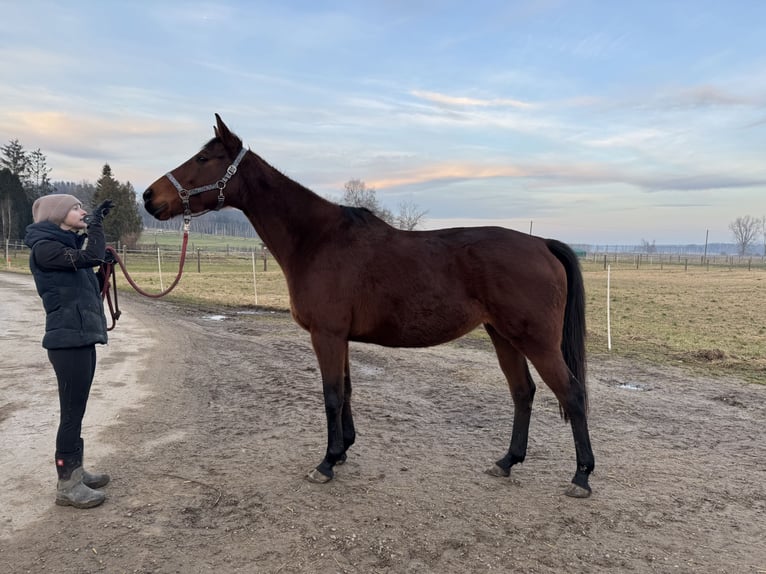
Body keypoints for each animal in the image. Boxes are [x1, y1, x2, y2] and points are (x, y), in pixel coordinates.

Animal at [146, 113, 600, 500]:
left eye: (203, 158)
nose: (150, 197)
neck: (317, 239)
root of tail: (541, 244)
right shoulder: (339, 336)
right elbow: (346, 390)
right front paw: (344, 449)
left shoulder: (327, 334)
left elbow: (331, 394)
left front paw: (326, 462)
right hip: (503, 335)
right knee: (523, 393)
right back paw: (507, 462)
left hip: (536, 341)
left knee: (573, 394)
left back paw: (580, 477)